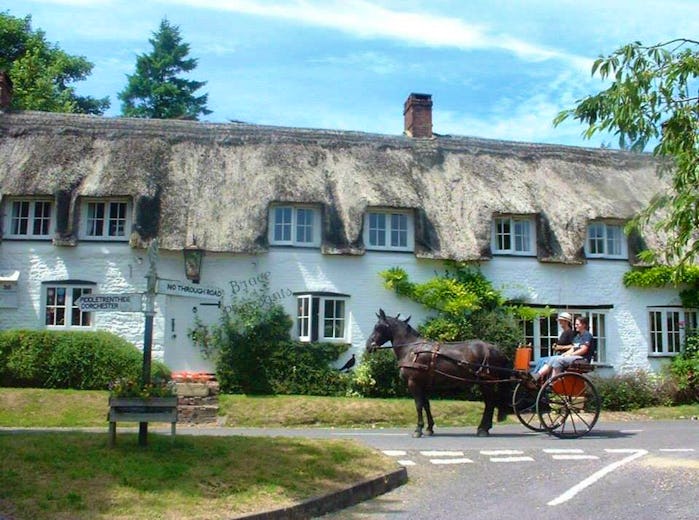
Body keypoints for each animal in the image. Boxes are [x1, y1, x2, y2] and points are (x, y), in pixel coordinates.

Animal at [366, 310, 516, 436]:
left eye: (378, 326)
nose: (368, 346)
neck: (411, 349)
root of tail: (495, 349)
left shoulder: (414, 383)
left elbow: (418, 405)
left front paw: (418, 429)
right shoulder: (423, 384)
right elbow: (426, 405)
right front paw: (429, 428)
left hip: (486, 382)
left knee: (489, 403)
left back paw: (483, 429)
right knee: (489, 402)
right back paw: (484, 428)